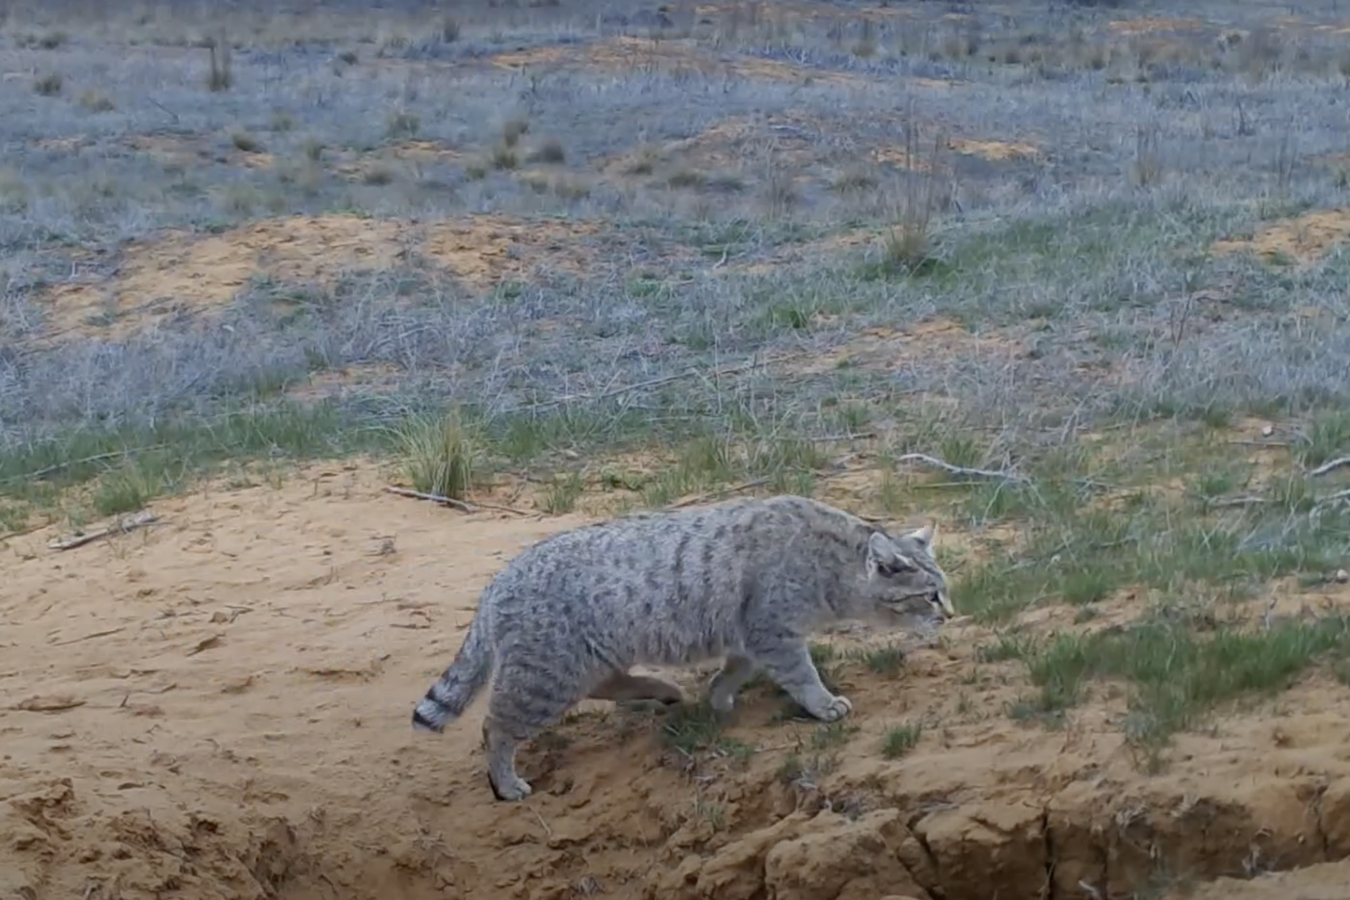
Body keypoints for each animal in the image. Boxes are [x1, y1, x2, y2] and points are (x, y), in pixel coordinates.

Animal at [410, 493, 950, 804]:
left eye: (943, 589)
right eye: (928, 595)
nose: (949, 612)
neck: (831, 564)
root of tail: (498, 581)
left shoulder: (752, 634)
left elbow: (735, 670)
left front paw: (719, 696)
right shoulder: (773, 631)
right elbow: (802, 674)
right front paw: (822, 704)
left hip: (584, 661)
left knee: (606, 684)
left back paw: (661, 689)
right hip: (547, 676)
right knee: (496, 728)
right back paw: (505, 782)